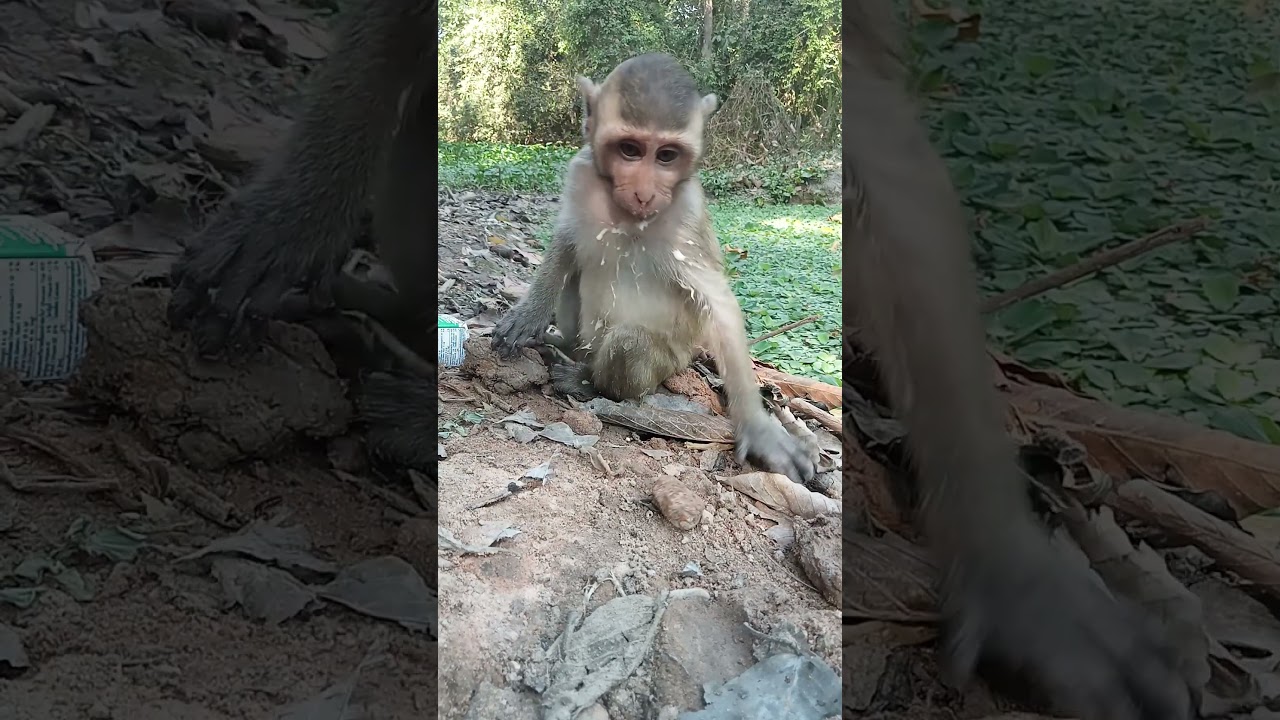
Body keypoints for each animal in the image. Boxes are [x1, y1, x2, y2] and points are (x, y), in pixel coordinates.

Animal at [488, 53, 818, 485]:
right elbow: (567, 242)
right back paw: (565, 346)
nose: (644, 193)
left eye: (666, 156)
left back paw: (588, 382)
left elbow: (719, 306)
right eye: (629, 149)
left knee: (630, 343)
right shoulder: (581, 172)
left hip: (672, 361)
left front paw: (760, 428)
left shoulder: (686, 217)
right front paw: (528, 316)